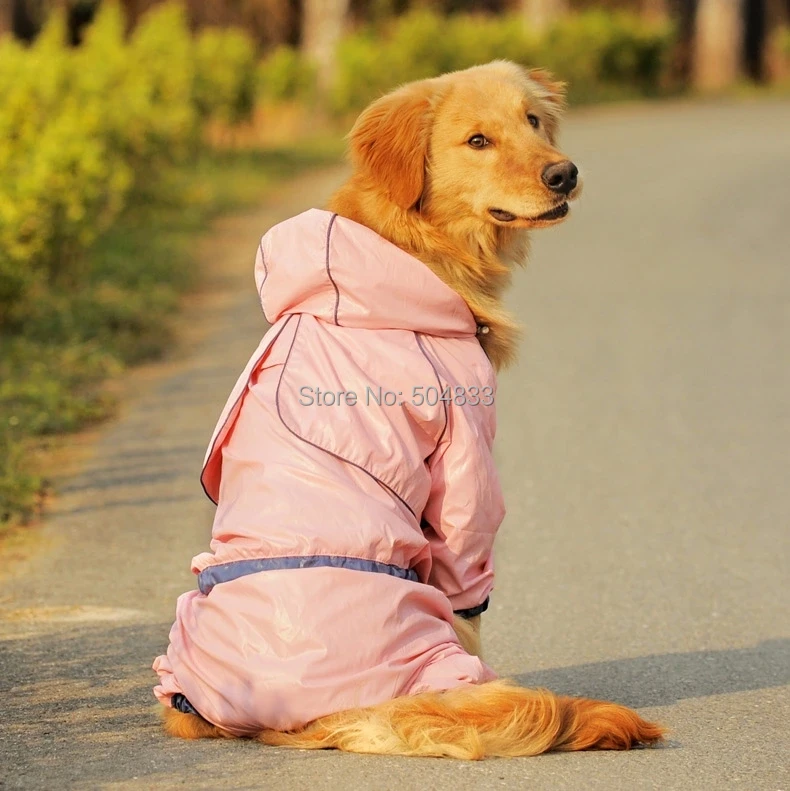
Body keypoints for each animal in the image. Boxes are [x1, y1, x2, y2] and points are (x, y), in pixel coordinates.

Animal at [153, 60, 664, 756]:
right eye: (478, 141)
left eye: (532, 121)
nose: (564, 174)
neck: (409, 248)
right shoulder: (465, 459)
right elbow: (468, 590)